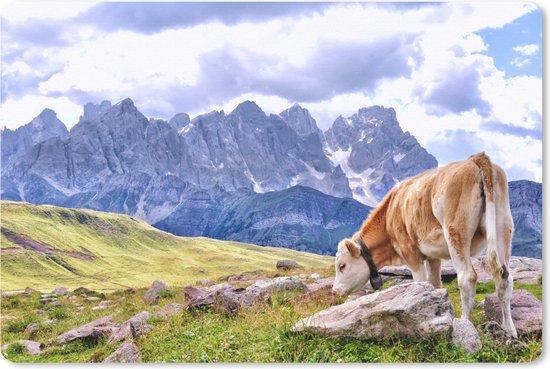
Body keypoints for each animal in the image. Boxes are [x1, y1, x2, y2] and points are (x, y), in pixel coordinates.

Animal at [334, 152, 520, 336]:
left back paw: (465, 324)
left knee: (467, 277)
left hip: (455, 231)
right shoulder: (432, 256)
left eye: (342, 265)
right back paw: (509, 330)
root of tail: (476, 159)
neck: (389, 216)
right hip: (504, 226)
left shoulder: (409, 251)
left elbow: (420, 283)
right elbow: (435, 285)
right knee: (504, 278)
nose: (334, 291)